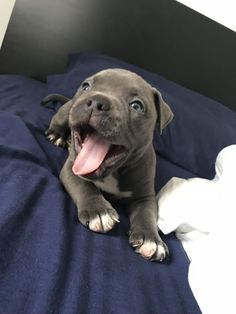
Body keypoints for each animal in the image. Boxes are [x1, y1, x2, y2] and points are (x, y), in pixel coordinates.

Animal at [42, 69, 173, 262]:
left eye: (136, 106)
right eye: (86, 86)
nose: (96, 101)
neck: (114, 172)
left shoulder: (144, 196)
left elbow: (147, 213)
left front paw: (151, 239)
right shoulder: (72, 169)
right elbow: (84, 186)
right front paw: (99, 212)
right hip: (68, 110)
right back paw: (57, 135)